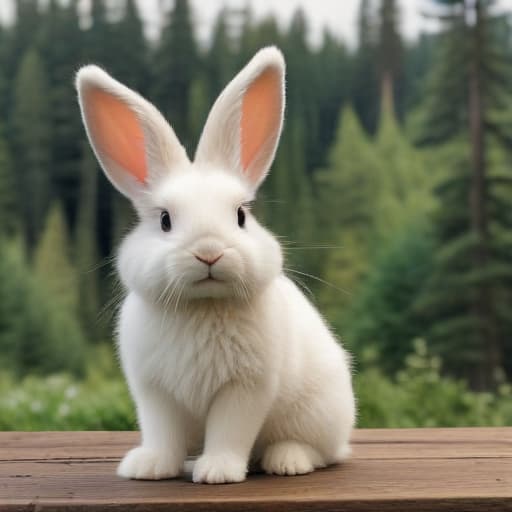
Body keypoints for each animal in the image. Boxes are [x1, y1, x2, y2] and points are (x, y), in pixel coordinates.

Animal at [76, 47, 356, 484]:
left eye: (240, 215)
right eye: (165, 220)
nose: (209, 252)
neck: (202, 306)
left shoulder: (244, 389)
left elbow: (230, 431)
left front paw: (217, 472)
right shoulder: (155, 392)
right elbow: (163, 434)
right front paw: (149, 467)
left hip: (318, 414)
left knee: (319, 451)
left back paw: (286, 461)